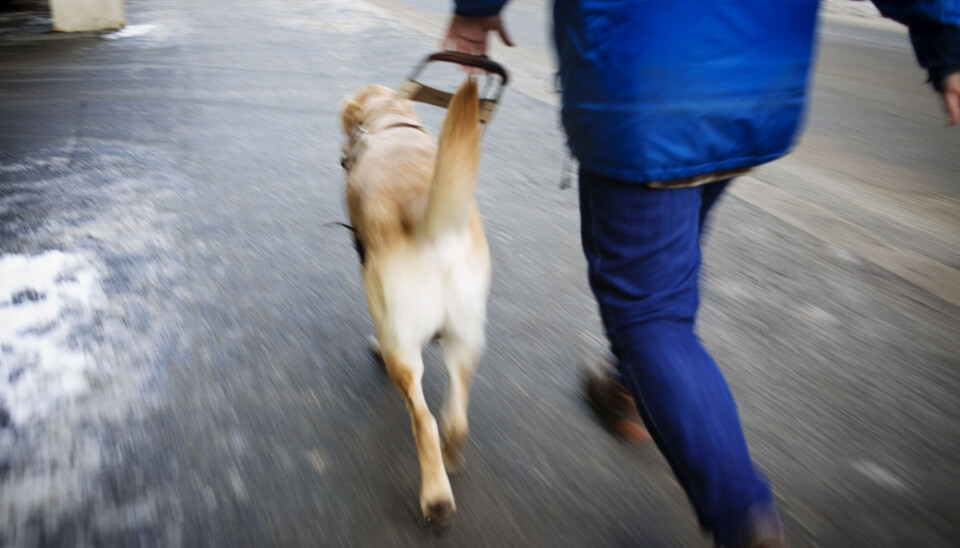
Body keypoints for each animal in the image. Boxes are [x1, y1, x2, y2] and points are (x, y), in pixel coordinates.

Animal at [340, 78, 492, 528]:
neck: (390, 125)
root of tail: (433, 228)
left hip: (402, 350)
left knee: (424, 420)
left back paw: (436, 499)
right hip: (466, 338)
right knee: (455, 417)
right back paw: (452, 456)